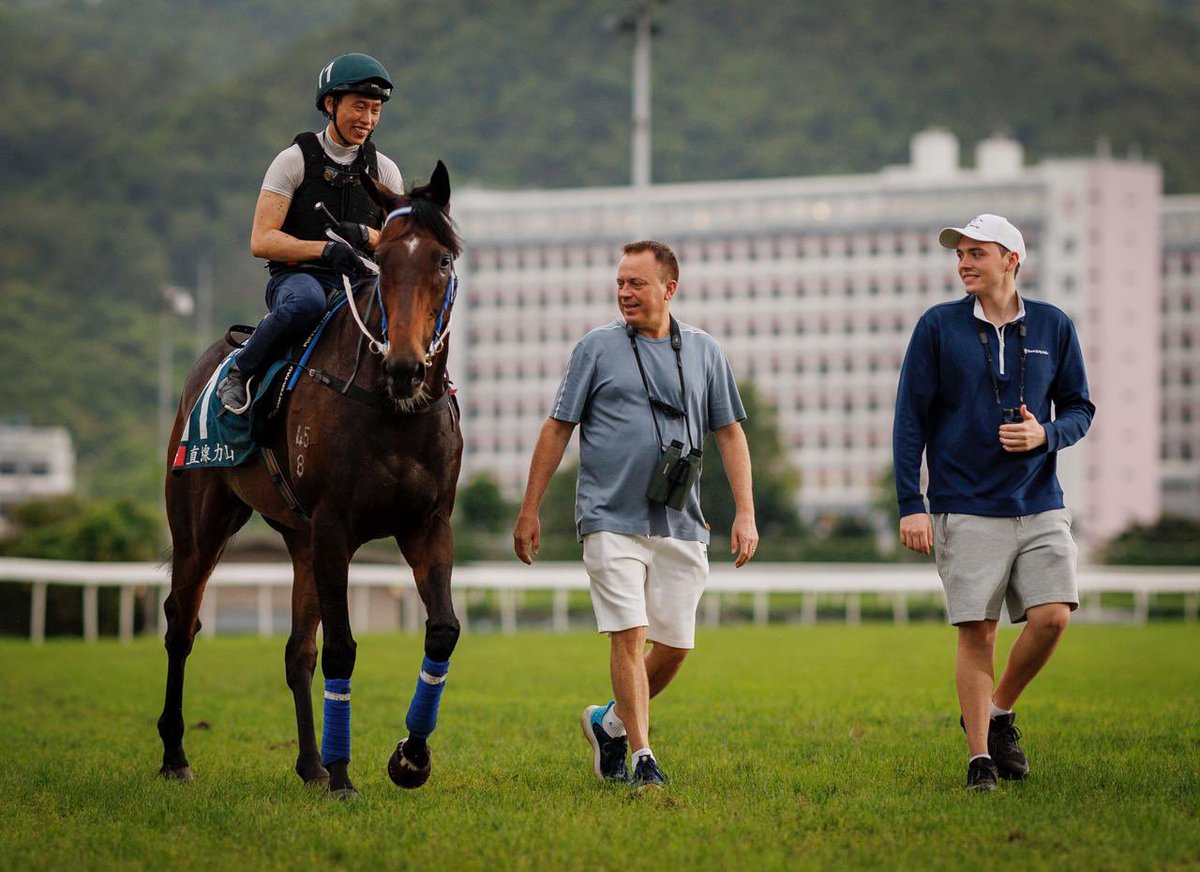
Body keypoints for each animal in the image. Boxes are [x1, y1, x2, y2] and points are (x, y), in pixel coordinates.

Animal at [156, 161, 463, 796]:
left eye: (442, 260)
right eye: (383, 259)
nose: (404, 365)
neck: (391, 408)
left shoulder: (427, 524)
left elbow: (442, 630)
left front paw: (410, 758)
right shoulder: (334, 527)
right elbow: (342, 649)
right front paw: (346, 773)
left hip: (299, 540)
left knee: (297, 650)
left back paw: (310, 765)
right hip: (203, 523)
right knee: (181, 624)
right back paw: (175, 754)